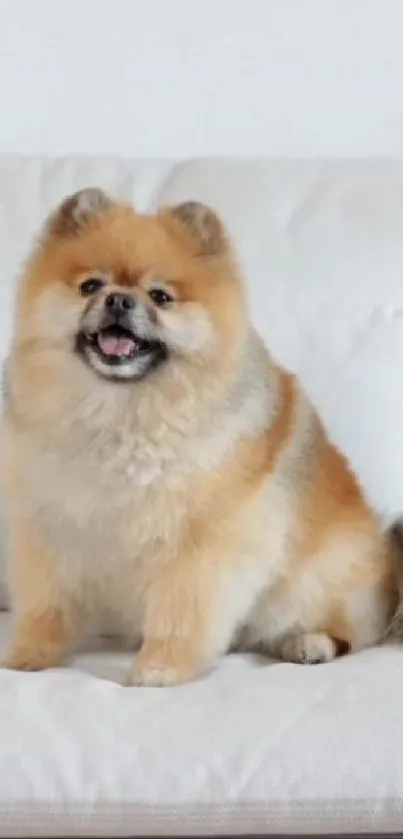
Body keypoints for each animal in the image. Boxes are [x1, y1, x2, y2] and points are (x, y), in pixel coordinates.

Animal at [1, 187, 402, 684]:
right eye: (91, 286)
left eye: (160, 296)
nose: (119, 301)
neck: (123, 412)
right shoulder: (52, 527)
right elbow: (46, 606)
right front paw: (30, 655)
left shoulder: (197, 544)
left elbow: (179, 614)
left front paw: (160, 667)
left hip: (321, 580)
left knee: (347, 630)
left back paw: (308, 644)